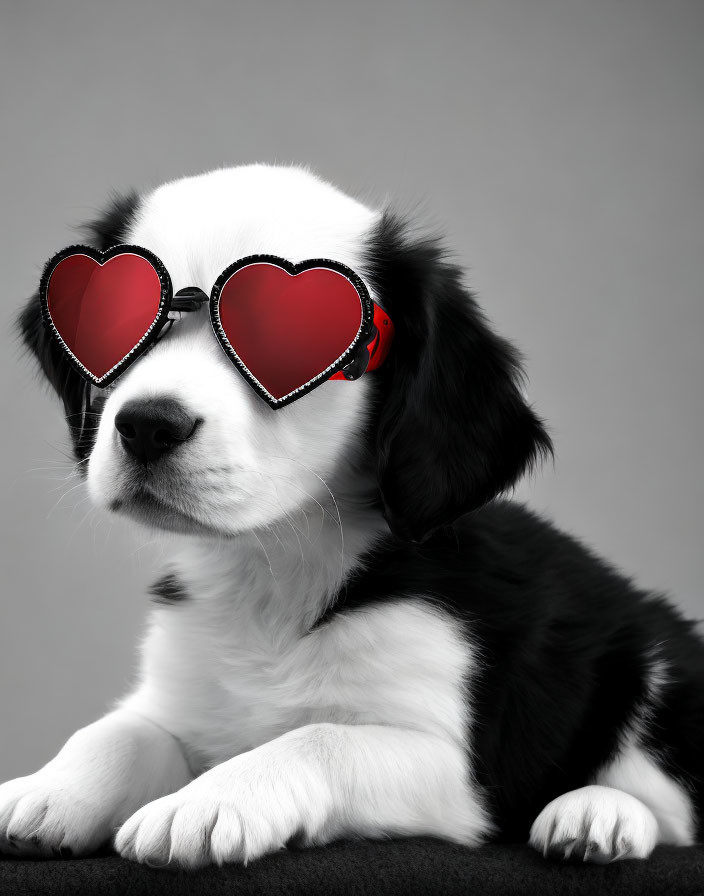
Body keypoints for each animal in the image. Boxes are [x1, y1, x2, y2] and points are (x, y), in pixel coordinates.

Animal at [2, 163, 700, 868]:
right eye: (115, 326)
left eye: (288, 343)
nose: (146, 425)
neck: (275, 579)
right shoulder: (179, 694)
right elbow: (116, 733)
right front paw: (46, 789)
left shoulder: (452, 769)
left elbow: (318, 740)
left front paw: (208, 802)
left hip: (657, 660)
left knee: (670, 806)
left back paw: (596, 815)